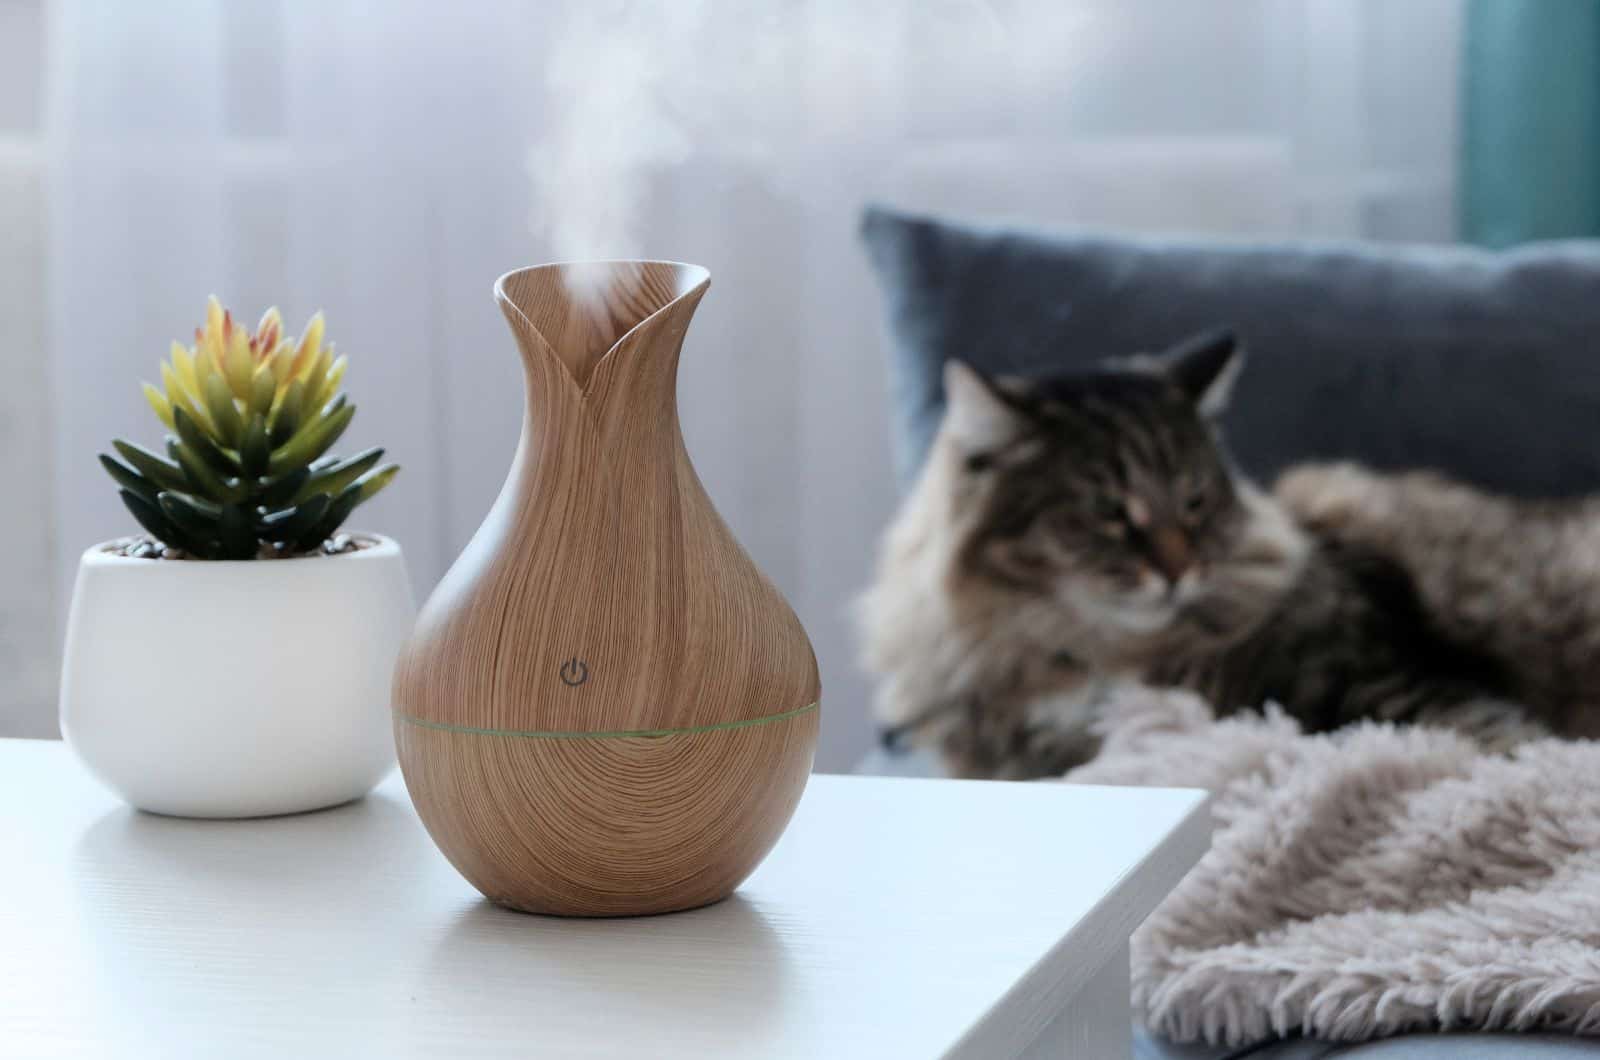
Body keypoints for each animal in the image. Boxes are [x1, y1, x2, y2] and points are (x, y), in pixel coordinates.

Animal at [864, 334, 1600, 781]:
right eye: (1109, 512)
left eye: (1193, 500)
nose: (1177, 570)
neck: (1096, 653)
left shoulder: (1380, 678)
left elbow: (1497, 736)